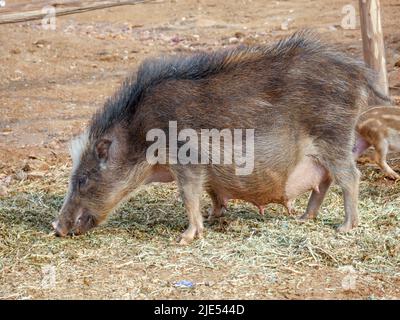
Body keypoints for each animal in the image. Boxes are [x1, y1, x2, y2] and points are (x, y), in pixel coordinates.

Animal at [52, 31, 390, 244]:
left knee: (351, 177)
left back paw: (344, 228)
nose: (56, 228)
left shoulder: (185, 157)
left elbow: (188, 195)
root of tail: (358, 73)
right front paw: (215, 217)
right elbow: (211, 190)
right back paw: (304, 219)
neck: (140, 133)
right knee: (325, 182)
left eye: (82, 179)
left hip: (333, 134)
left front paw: (184, 238)